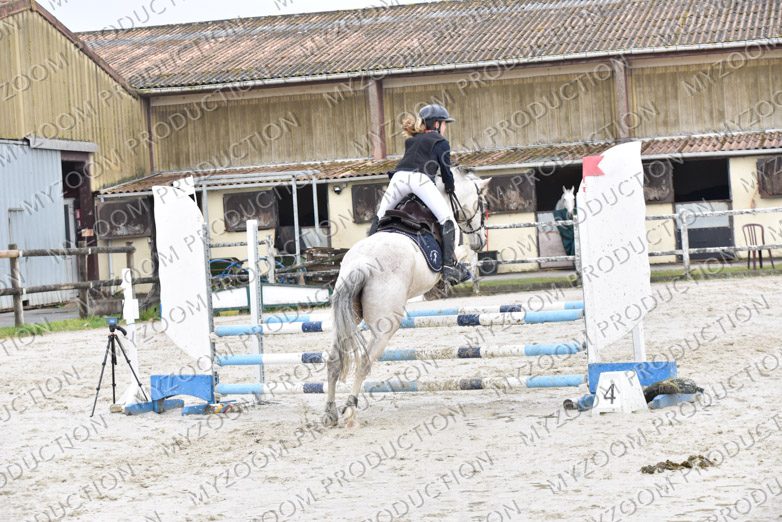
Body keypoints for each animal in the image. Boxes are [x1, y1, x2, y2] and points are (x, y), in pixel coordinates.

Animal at [324, 167, 491, 428]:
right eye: (482, 204)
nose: (481, 242)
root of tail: (361, 264)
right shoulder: (452, 249)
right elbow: (459, 255)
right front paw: (457, 274)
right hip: (385, 327)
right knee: (364, 361)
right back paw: (350, 408)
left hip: (345, 315)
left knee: (333, 359)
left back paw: (330, 412)